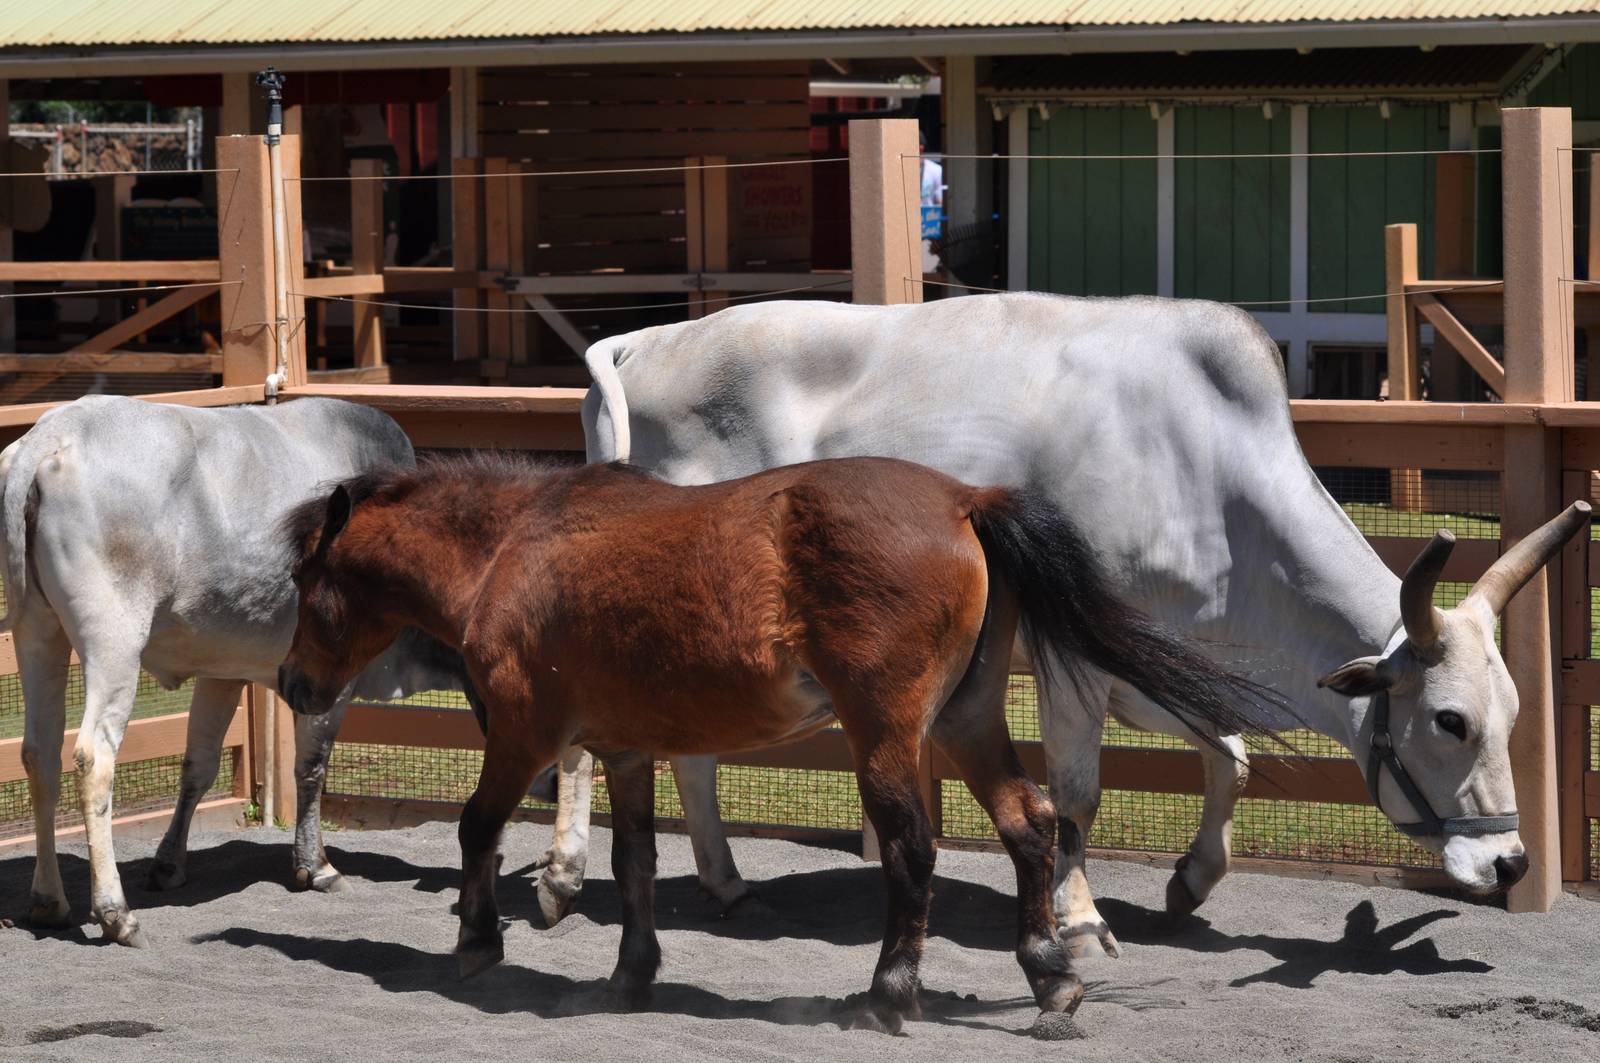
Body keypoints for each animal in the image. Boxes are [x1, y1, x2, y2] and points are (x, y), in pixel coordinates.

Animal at [0, 395, 477, 946]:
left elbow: (199, 765)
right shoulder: (333, 680)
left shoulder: (222, 671)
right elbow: (310, 767)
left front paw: (168, 865)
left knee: (39, 754)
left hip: (38, 634)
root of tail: (54, 431)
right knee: (92, 758)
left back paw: (48, 901)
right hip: (113, 640)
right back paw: (115, 913)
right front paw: (316, 866)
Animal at [276, 453, 1284, 1032]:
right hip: (964, 721)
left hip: (886, 731)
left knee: (912, 850)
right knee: (1031, 827)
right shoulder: (627, 749)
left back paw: (888, 992)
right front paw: (630, 974)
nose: (290, 684)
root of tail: (964, 499)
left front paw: (478, 940)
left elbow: (476, 827)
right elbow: (635, 863)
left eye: (305, 581)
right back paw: (1049, 979)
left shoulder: (523, 735)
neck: (512, 550)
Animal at [528, 292, 1586, 958]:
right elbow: (1076, 792)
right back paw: (562, 876)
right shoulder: (1073, 649)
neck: (1212, 474)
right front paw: (1077, 917)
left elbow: (1232, 759)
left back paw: (721, 877)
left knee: (690, 749)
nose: (1510, 860)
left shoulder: (1169, 663)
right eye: (1449, 719)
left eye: (1513, 712)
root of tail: (649, 341)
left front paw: (1191, 881)